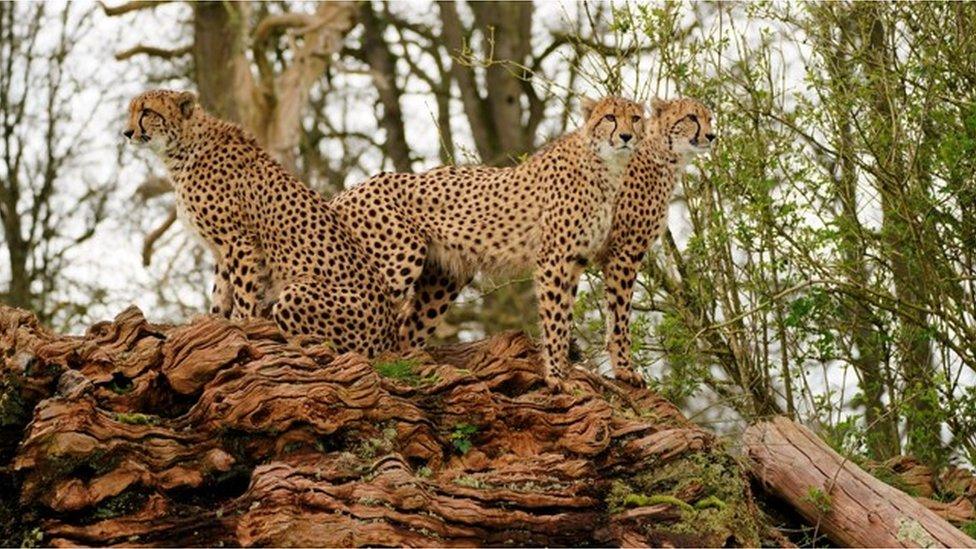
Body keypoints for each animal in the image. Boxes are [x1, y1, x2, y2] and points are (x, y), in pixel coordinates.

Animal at [123, 89, 396, 356]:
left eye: (146, 111)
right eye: (132, 111)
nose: (127, 133)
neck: (183, 149)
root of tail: (388, 335)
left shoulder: (238, 240)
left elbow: (243, 292)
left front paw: (242, 324)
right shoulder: (223, 249)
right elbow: (221, 292)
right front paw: (217, 322)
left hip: (297, 293)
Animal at [334, 95, 648, 386]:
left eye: (635, 119)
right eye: (609, 117)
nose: (626, 136)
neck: (605, 166)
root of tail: (349, 189)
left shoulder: (578, 260)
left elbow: (588, 317)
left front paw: (612, 371)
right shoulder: (555, 258)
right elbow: (556, 318)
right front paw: (556, 375)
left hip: (443, 280)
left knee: (406, 328)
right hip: (398, 260)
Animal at [600, 96, 712, 384]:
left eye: (710, 119)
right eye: (691, 117)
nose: (711, 135)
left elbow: (610, 312)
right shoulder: (625, 251)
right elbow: (620, 315)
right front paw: (625, 369)